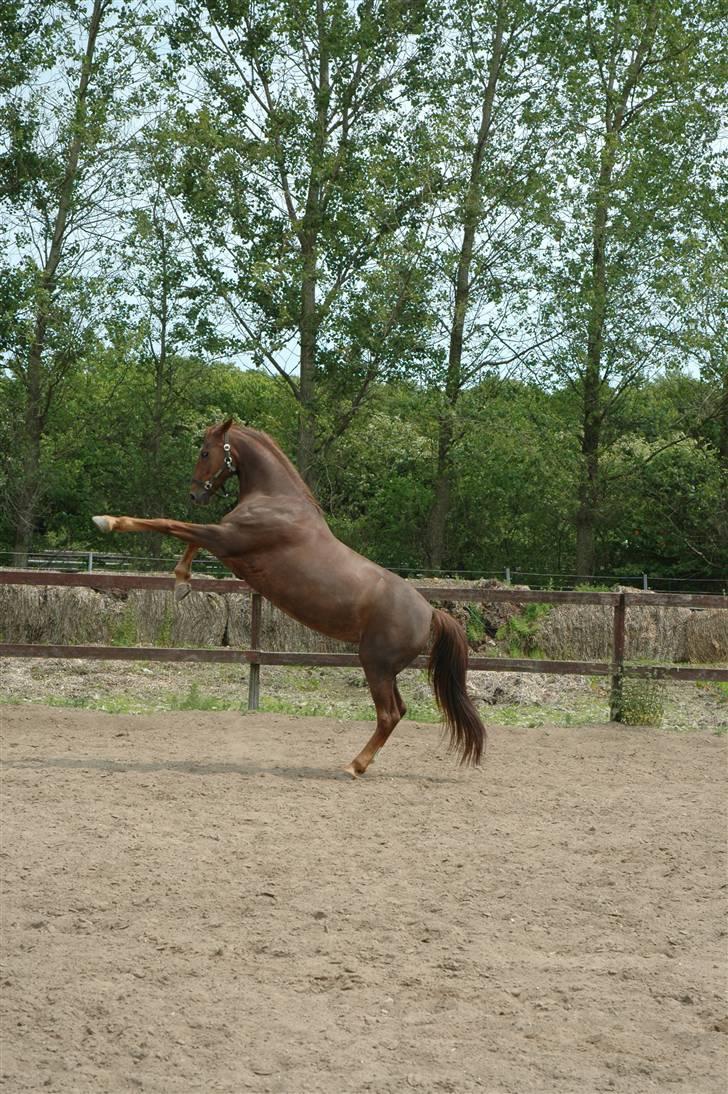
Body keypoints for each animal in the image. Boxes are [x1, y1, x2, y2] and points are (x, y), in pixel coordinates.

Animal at [93, 413, 486, 774]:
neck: (276, 500)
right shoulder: (226, 543)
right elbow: (188, 536)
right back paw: (360, 763)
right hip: (387, 669)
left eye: (205, 452)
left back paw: (353, 766)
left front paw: (107, 521)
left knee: (389, 714)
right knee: (399, 711)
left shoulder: (227, 538)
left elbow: (172, 525)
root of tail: (431, 611)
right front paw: (182, 585)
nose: (195, 494)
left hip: (376, 664)